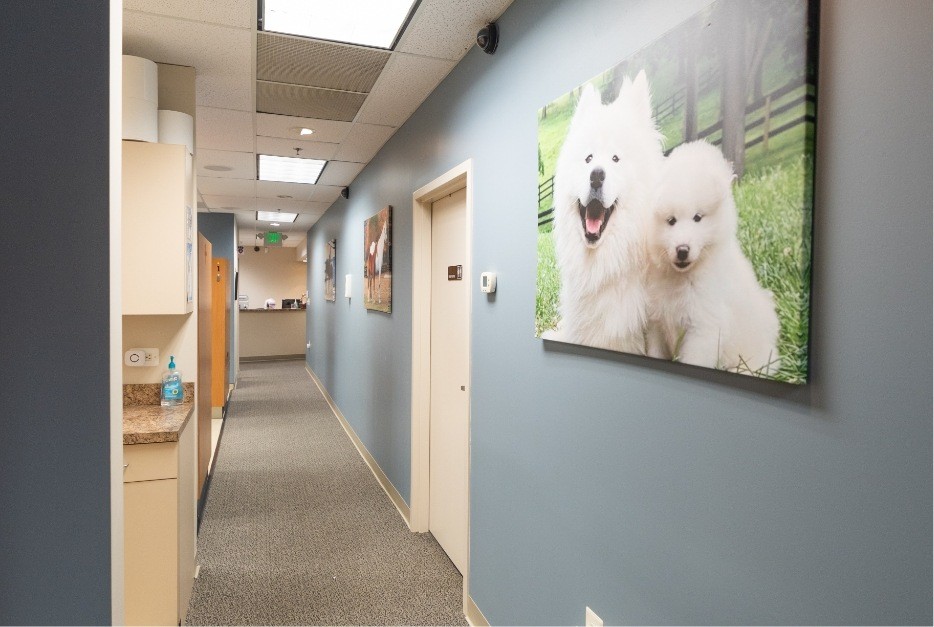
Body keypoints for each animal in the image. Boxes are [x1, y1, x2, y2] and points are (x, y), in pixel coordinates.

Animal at [648, 140, 780, 376]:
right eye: (671, 220)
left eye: (697, 217)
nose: (682, 249)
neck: (683, 277)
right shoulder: (656, 321)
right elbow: (654, 351)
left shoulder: (703, 328)